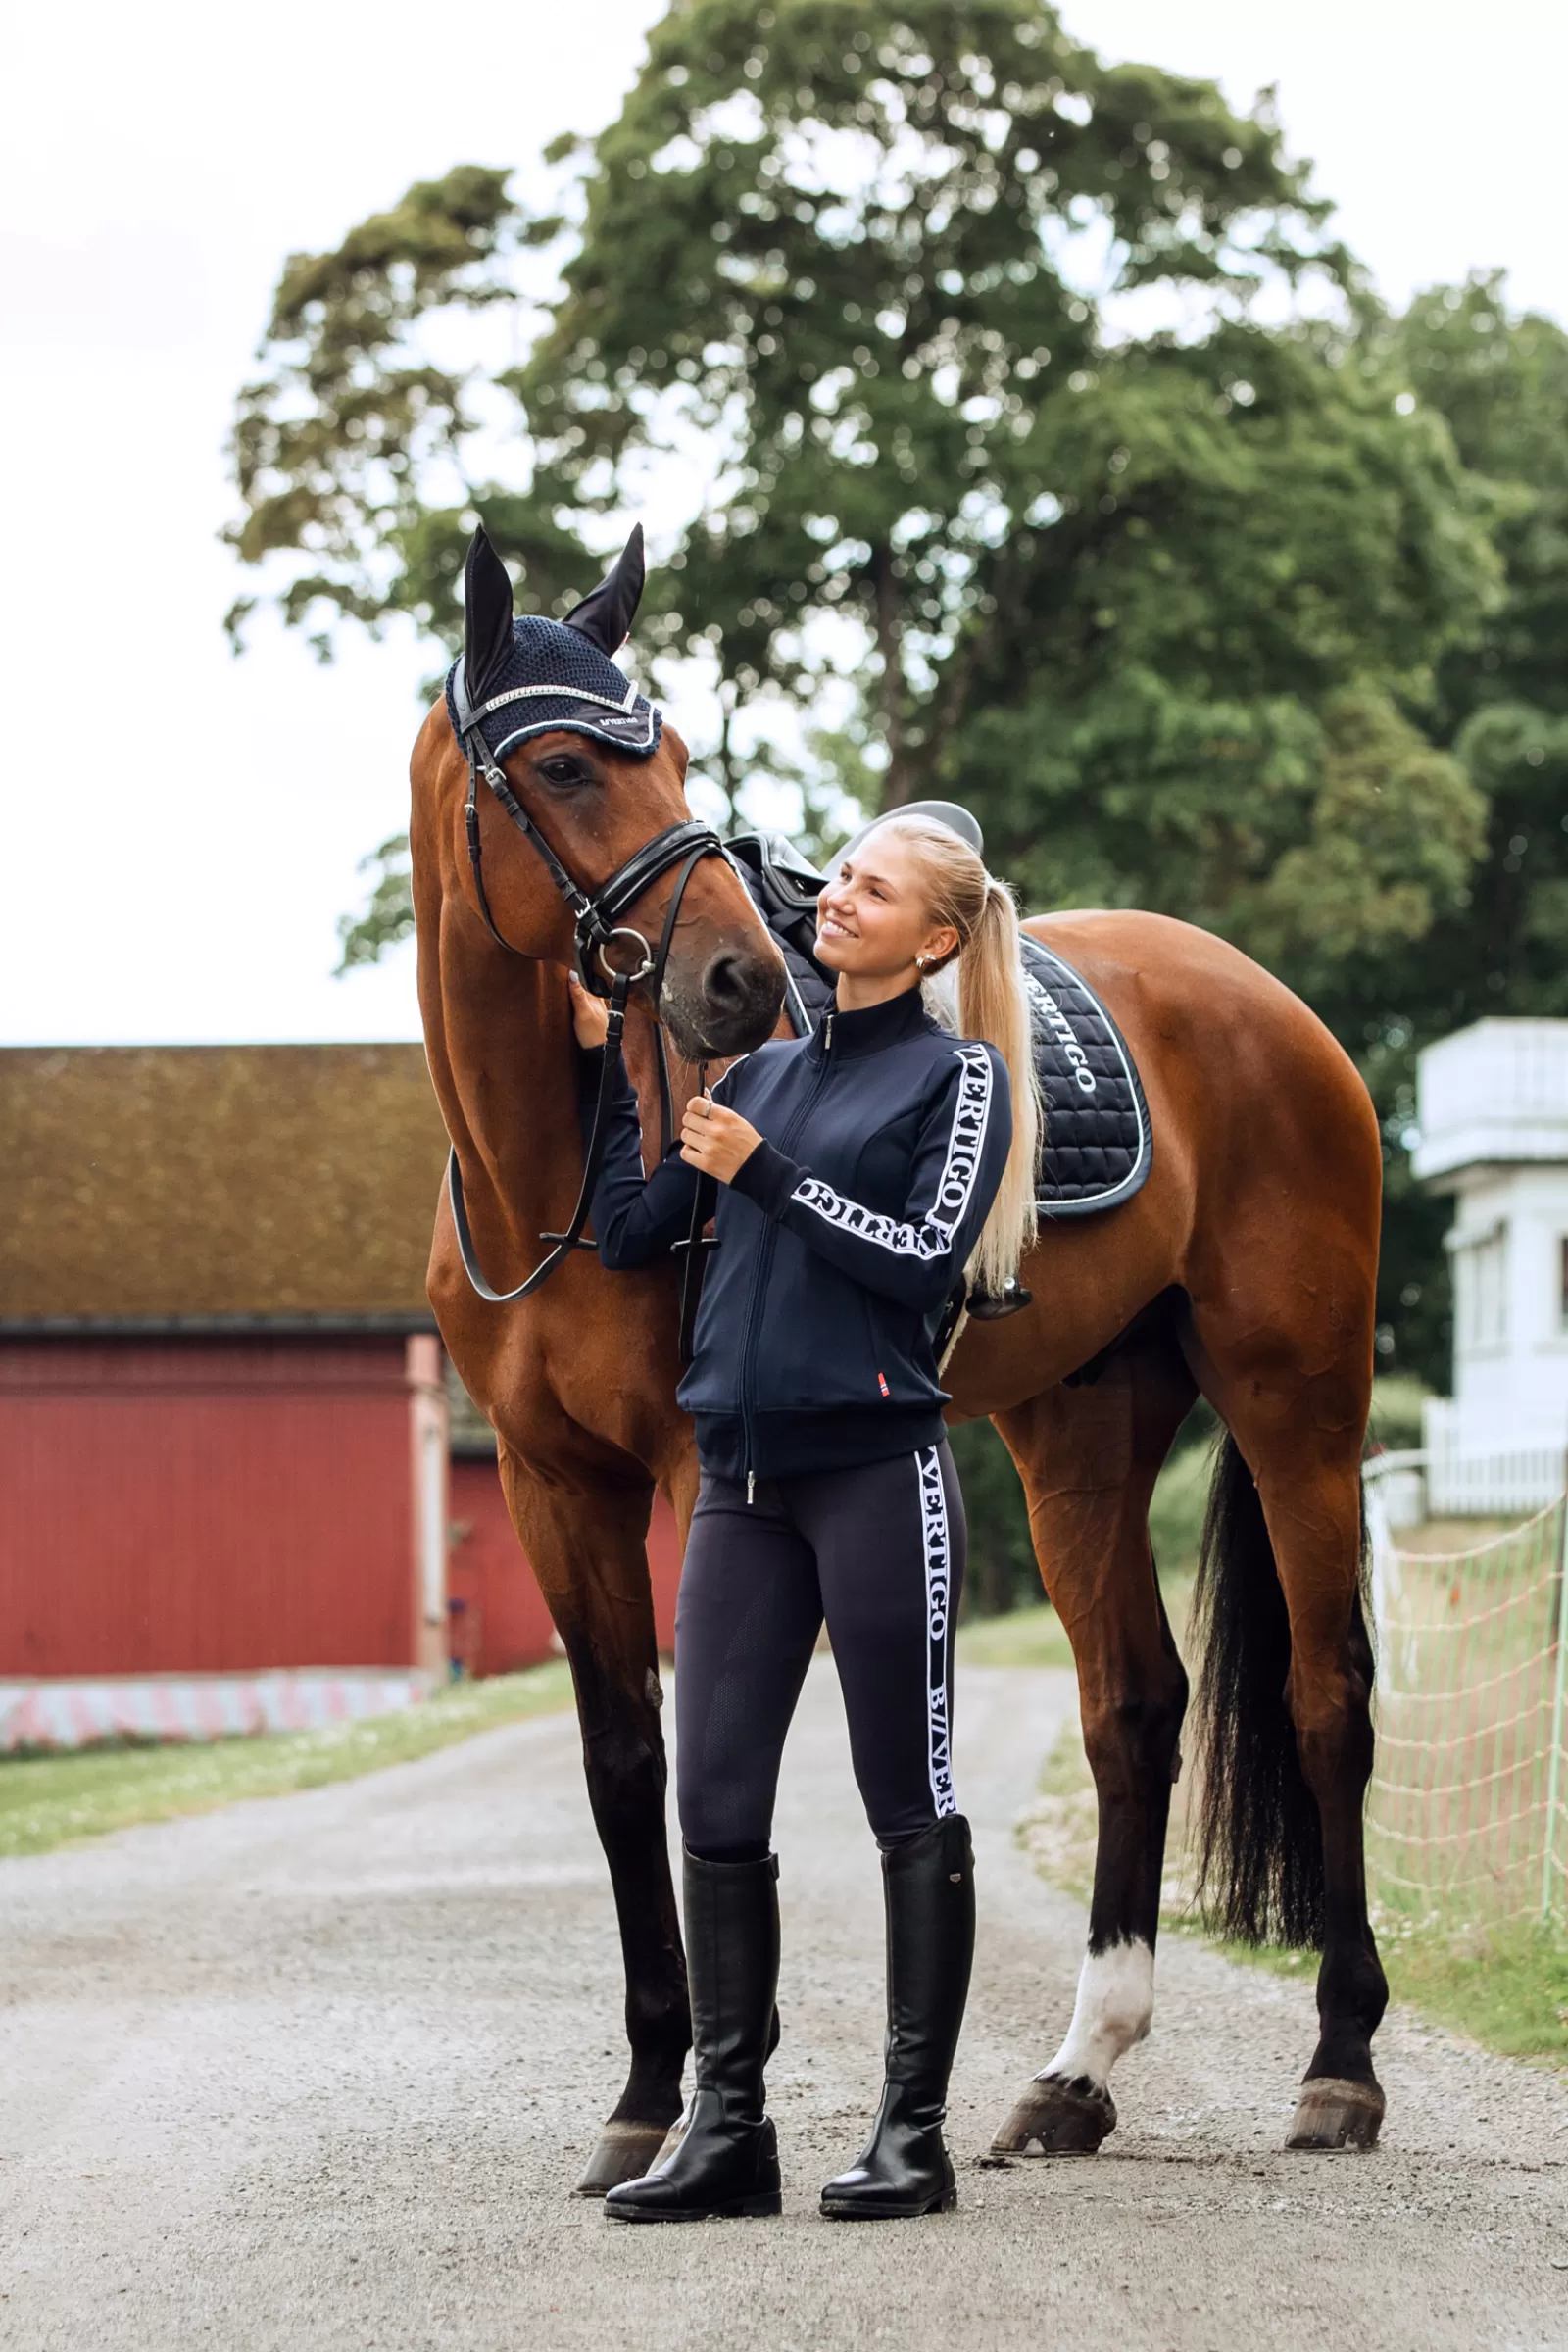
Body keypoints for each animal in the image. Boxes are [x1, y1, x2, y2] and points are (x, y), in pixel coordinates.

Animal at [414, 529, 1382, 2182]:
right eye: (564, 762)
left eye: (675, 756)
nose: (734, 983)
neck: (557, 1153)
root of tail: (1272, 1006)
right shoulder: (552, 1484)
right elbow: (626, 1764)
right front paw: (646, 2094)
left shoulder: (700, 1468)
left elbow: (717, 1757)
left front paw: (707, 2108)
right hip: (1081, 1432)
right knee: (1133, 1706)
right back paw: (1077, 2073)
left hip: (1296, 1410)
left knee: (1329, 1697)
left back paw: (1341, 2065)